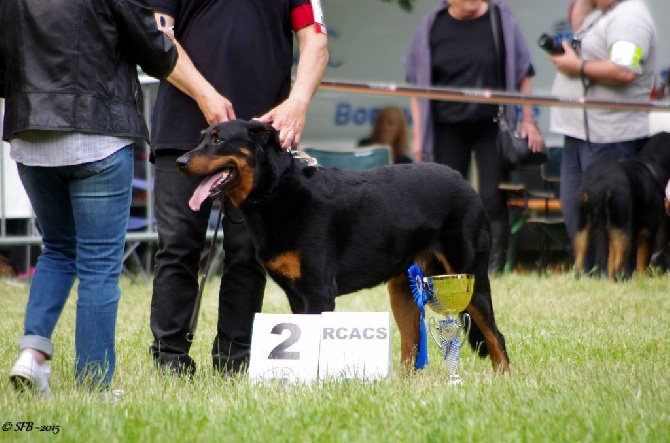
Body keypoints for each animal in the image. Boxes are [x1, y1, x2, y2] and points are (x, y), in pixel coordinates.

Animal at [176, 119, 512, 372]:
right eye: (202, 138)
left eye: (218, 140)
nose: (180, 161)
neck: (275, 190)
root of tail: (465, 182)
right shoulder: (297, 295)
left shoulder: (318, 292)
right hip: (404, 287)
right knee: (412, 341)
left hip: (469, 277)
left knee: (495, 336)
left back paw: (503, 378)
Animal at [576, 130, 670, 280]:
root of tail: (601, 183)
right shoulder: (647, 233)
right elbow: (641, 265)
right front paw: (641, 281)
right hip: (623, 230)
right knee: (618, 268)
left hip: (583, 228)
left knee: (580, 267)